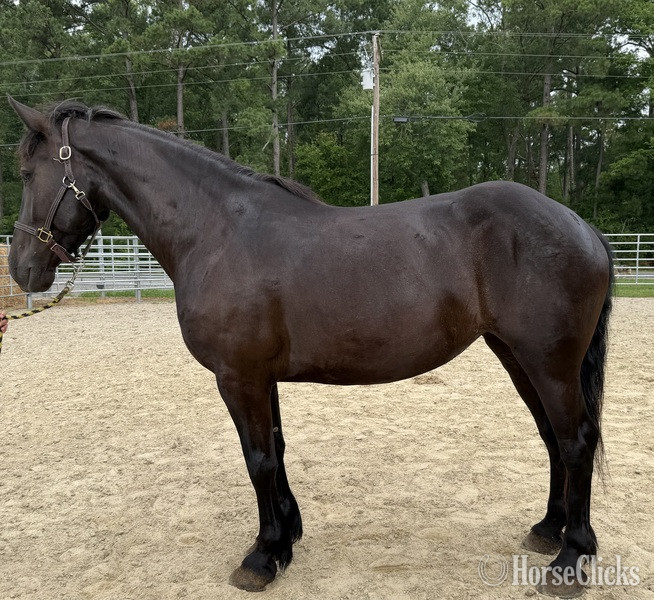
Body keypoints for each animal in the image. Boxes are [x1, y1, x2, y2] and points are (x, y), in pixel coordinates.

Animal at [7, 97, 613, 596]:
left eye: (27, 173)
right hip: (517, 356)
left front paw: (260, 558)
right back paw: (547, 529)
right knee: (553, 438)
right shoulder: (260, 376)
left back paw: (570, 559)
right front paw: (285, 539)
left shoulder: (238, 376)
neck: (216, 231)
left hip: (549, 363)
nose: (21, 268)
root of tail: (581, 226)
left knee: (576, 441)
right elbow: (275, 451)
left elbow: (257, 459)